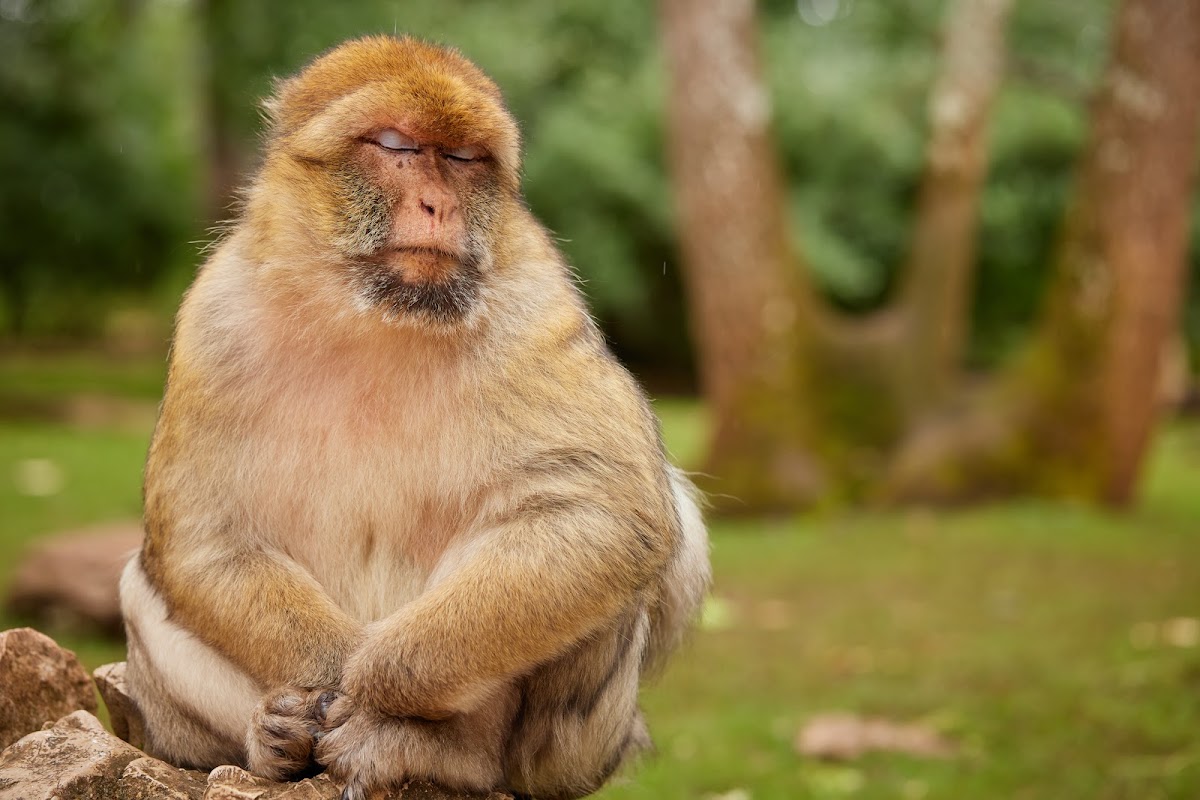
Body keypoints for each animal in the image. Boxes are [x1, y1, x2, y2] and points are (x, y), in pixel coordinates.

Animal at [118, 35, 709, 800]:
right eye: (397, 146)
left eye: (461, 159)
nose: (436, 204)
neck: (374, 315)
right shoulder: (213, 316)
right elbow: (201, 538)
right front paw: (327, 676)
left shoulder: (537, 299)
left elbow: (608, 511)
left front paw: (371, 682)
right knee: (140, 582)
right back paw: (270, 740)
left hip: (569, 756)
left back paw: (433, 752)